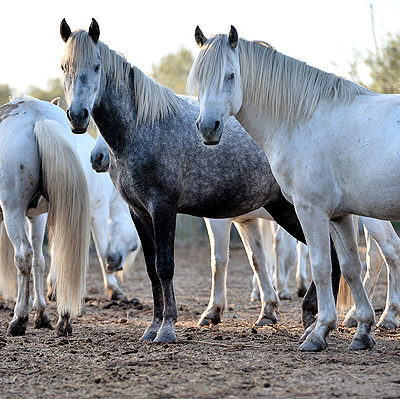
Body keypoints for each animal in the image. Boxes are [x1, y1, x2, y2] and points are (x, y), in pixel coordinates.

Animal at [0, 97, 90, 338]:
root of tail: (37, 117)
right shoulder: (37, 216)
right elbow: (40, 261)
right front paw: (41, 314)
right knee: (49, 257)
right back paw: (61, 319)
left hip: (12, 210)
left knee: (23, 256)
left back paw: (18, 320)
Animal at [59, 18, 344, 344]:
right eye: (64, 66)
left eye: (96, 67)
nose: (77, 116)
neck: (143, 128)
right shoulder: (139, 212)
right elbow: (151, 269)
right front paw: (152, 326)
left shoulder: (164, 207)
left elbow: (165, 266)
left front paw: (167, 328)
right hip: (286, 210)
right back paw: (312, 318)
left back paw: (320, 322)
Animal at [188, 25, 400, 350]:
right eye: (198, 77)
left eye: (231, 75)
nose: (208, 128)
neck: (303, 120)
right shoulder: (339, 216)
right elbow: (349, 266)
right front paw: (363, 330)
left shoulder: (310, 209)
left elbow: (321, 265)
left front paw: (319, 331)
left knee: (388, 252)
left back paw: (387, 317)